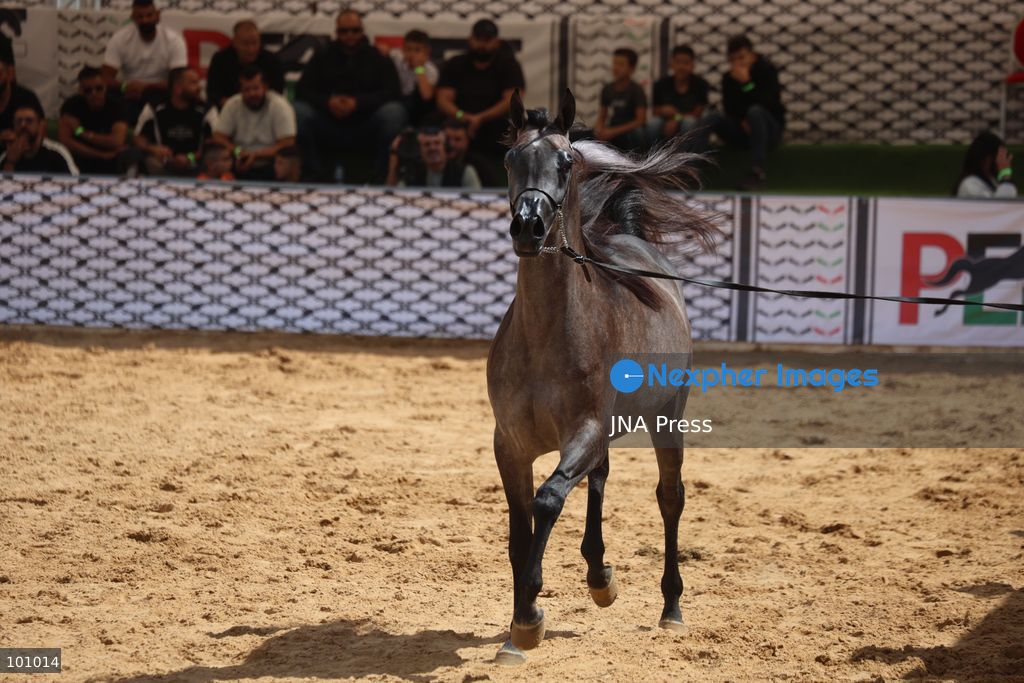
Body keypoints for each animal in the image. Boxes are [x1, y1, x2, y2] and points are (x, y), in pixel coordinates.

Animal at [486, 89, 720, 664]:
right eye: (509, 160)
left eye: (566, 163)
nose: (529, 227)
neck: (546, 335)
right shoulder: (511, 444)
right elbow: (519, 531)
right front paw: (515, 631)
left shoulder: (585, 430)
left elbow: (547, 501)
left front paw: (529, 619)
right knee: (600, 478)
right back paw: (599, 575)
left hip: (666, 418)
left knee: (669, 497)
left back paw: (671, 608)